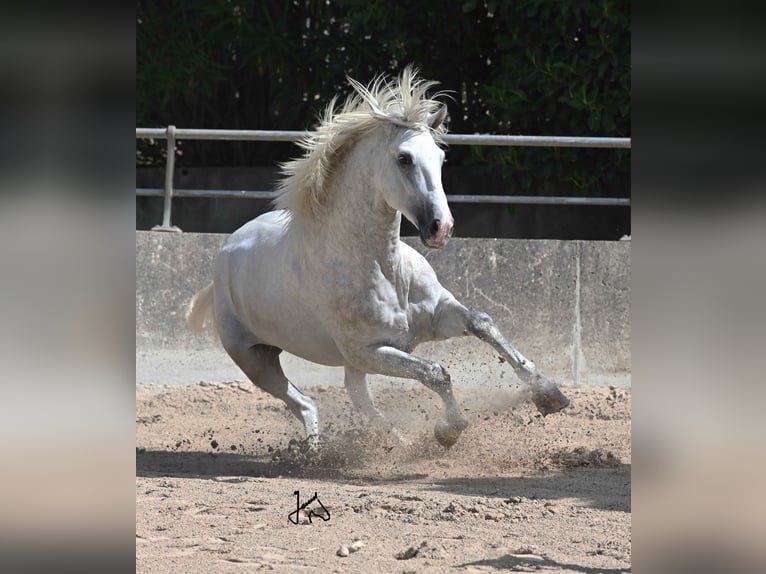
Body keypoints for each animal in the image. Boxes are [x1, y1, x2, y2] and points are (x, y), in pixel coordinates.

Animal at [186, 67, 568, 450]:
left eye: (441, 158)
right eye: (404, 158)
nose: (440, 227)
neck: (384, 270)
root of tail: (223, 263)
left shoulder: (436, 318)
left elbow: (483, 323)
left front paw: (549, 394)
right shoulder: (371, 350)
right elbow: (436, 373)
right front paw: (450, 430)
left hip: (346, 365)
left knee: (355, 402)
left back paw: (396, 446)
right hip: (256, 360)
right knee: (306, 403)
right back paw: (321, 452)